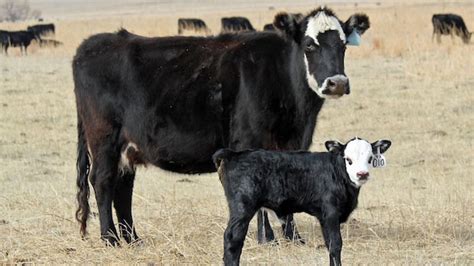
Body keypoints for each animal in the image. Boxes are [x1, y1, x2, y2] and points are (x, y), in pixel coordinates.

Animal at [73, 7, 370, 246]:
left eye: (343, 46)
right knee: (103, 181)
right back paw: (110, 239)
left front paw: (293, 238)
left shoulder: (294, 144)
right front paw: (267, 239)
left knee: (123, 188)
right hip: (105, 139)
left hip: (128, 147)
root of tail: (92, 44)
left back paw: (133, 239)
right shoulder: (250, 142)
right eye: (309, 45)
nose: (337, 83)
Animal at [213, 138, 390, 264]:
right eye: (348, 159)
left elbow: (329, 245)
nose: (362, 174)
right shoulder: (330, 213)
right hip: (242, 208)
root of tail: (234, 154)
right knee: (233, 239)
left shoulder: (324, 218)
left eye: (370, 158)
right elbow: (336, 245)